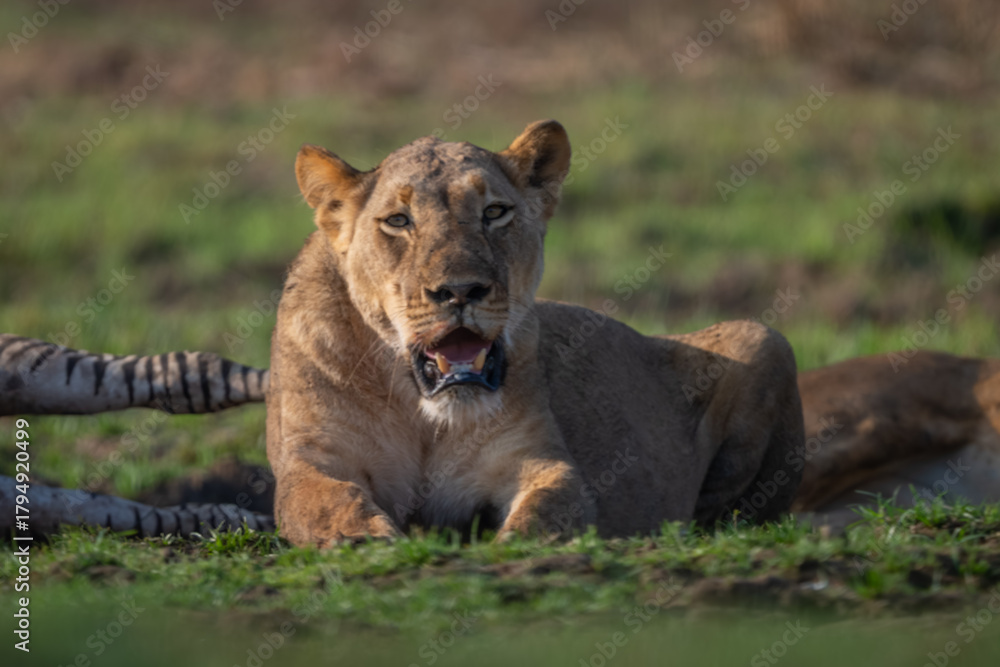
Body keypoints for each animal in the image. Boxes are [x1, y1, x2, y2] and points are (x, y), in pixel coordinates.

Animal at [266, 120, 806, 546]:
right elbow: (326, 503)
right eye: (398, 221)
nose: (460, 290)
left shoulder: (535, 459)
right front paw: (364, 540)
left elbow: (548, 510)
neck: (423, 416)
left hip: (763, 338)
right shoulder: (317, 458)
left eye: (494, 212)